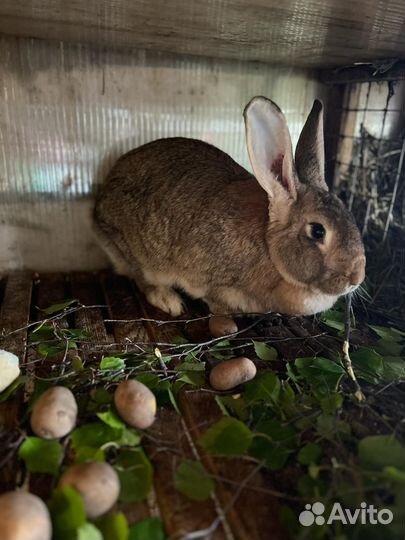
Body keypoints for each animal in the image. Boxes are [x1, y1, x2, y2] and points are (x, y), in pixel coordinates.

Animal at [93, 96, 364, 316]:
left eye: (350, 216)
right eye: (317, 231)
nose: (356, 277)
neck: (269, 247)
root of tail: (98, 206)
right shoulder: (212, 279)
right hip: (133, 248)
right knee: (142, 278)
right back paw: (169, 301)